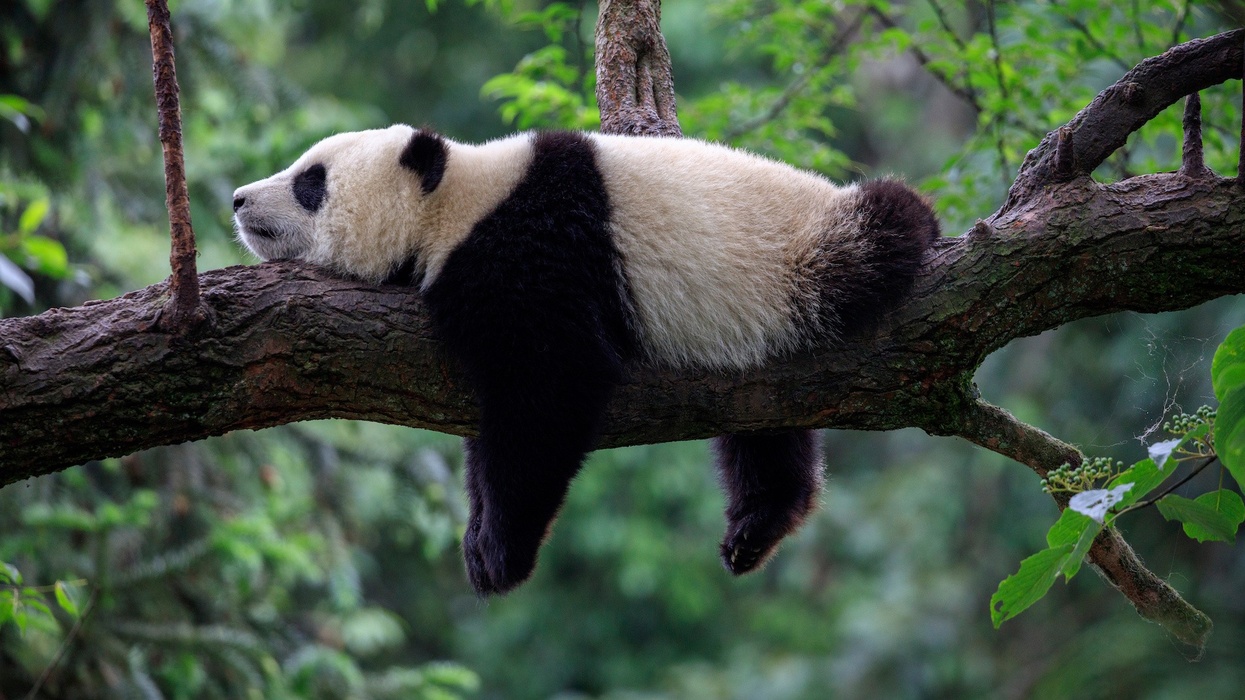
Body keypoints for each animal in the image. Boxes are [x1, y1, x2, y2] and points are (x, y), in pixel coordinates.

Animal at [233, 124, 939, 596]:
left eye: (311, 182)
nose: (239, 199)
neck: (457, 201)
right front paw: (478, 535)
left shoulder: (534, 251)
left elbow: (552, 387)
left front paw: (500, 552)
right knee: (764, 428)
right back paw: (757, 525)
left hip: (804, 258)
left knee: (882, 230)